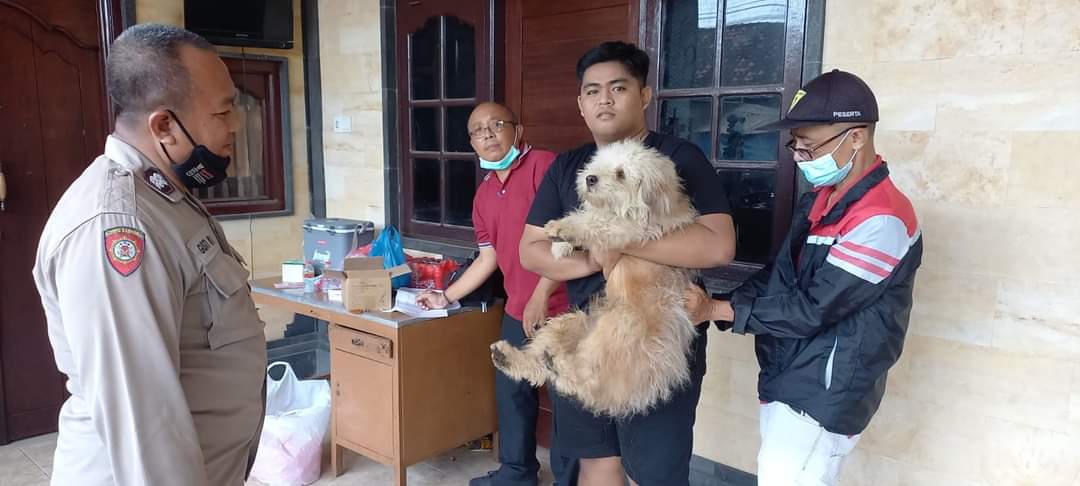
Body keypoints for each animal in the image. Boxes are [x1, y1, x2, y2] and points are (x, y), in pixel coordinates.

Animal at [490, 140, 700, 417]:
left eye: (621, 173)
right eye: (598, 166)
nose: (590, 178)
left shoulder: (636, 226)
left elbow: (598, 221)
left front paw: (563, 228)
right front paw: (560, 246)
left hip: (618, 329)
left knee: (583, 379)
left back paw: (561, 364)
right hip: (569, 322)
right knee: (542, 365)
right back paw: (511, 357)